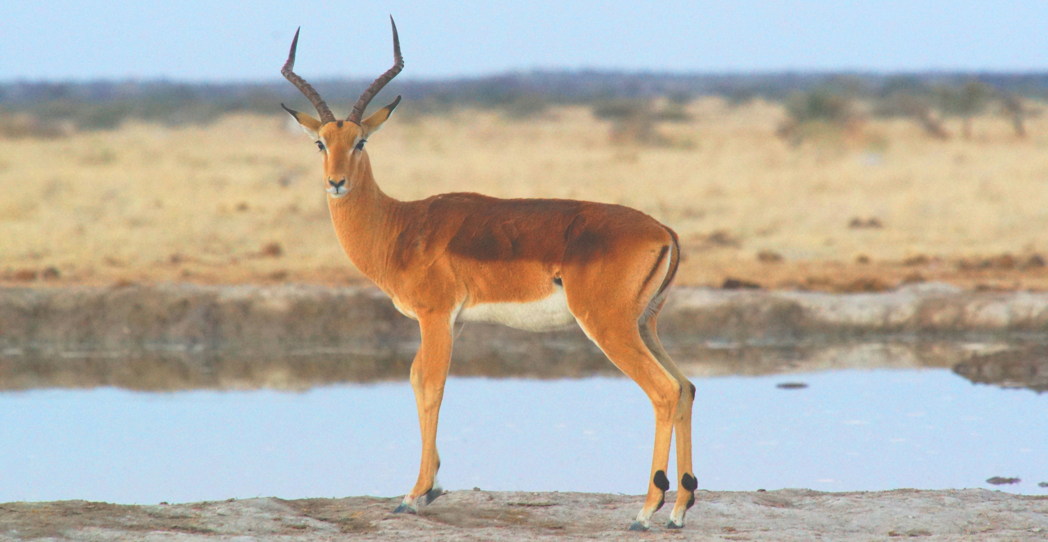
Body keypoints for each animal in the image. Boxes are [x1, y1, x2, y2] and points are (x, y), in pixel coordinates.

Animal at [280, 18, 697, 531]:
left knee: (663, 391)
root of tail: (662, 230)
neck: (400, 227)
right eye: (321, 142)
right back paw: (678, 509)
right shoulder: (452, 321)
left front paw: (415, 494)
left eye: (361, 141)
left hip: (609, 326)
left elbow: (431, 384)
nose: (335, 182)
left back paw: (646, 510)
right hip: (646, 324)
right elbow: (417, 378)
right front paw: (432, 487)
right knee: (685, 387)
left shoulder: (435, 316)